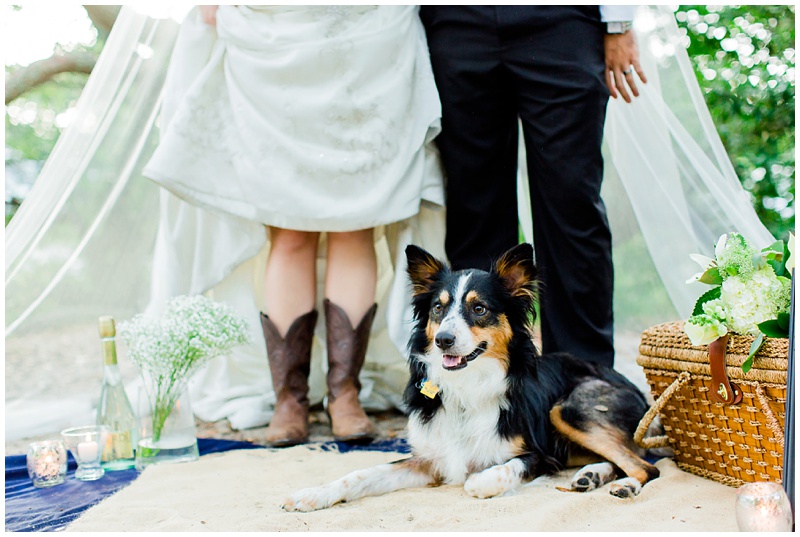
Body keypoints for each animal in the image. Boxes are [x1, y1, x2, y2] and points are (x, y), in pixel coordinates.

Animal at [284, 243, 660, 510]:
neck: (466, 389)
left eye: (479, 309)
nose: (443, 340)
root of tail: (632, 384)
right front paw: (312, 494)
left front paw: (480, 481)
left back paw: (622, 485)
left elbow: (492, 473)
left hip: (570, 409)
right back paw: (590, 476)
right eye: (438, 308)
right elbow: (361, 474)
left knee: (647, 467)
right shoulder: (430, 459)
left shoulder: (540, 454)